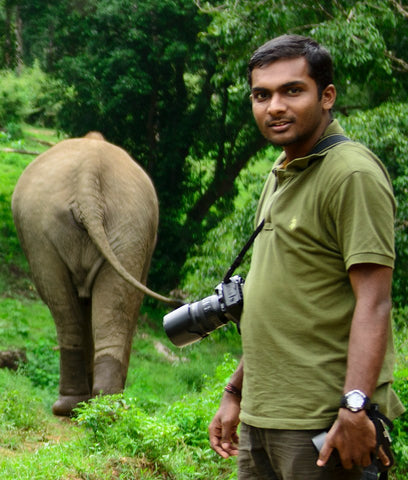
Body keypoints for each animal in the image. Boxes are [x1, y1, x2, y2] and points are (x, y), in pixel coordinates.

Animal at [12, 132, 180, 416]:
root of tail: (87, 178)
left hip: (114, 225)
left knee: (75, 308)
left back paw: (90, 408)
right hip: (115, 223)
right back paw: (101, 408)